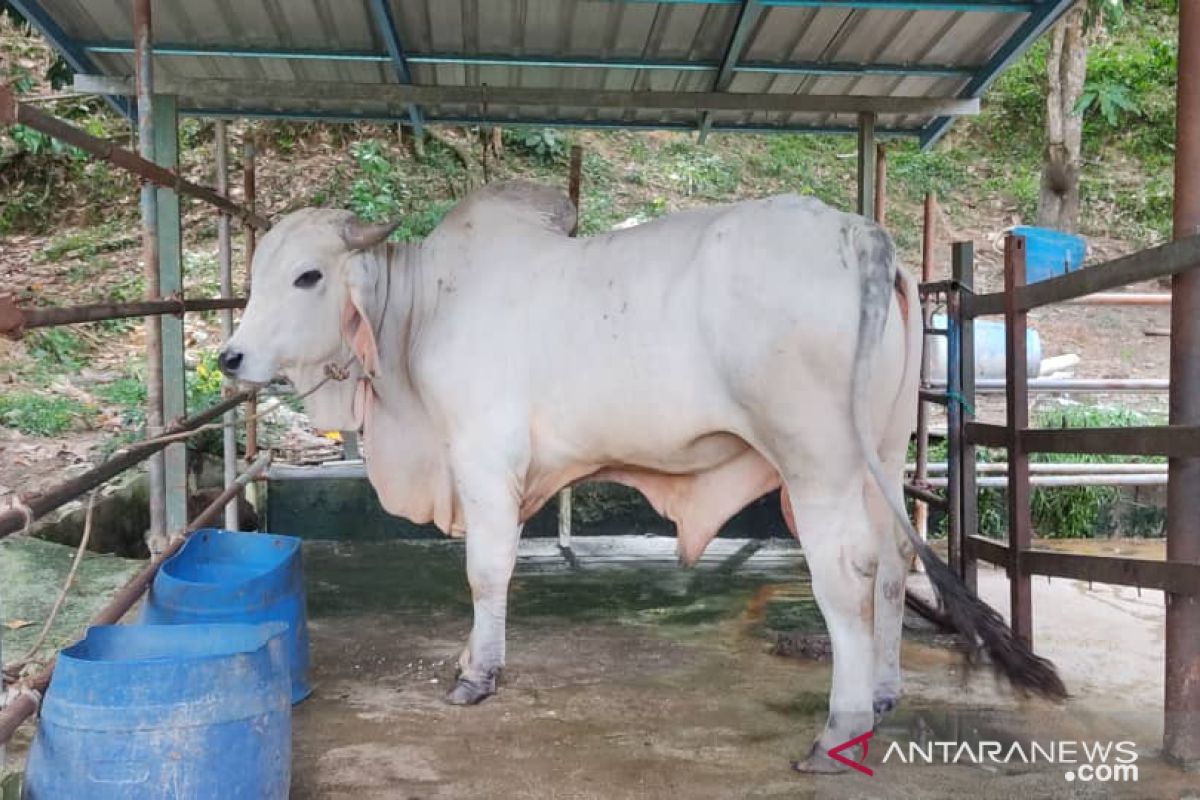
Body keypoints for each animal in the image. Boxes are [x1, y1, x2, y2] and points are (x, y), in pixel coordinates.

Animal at [220, 181, 1065, 767]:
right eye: (257, 272)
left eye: (307, 276)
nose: (230, 357)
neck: (420, 311)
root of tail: (861, 233)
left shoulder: (485, 456)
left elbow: (486, 570)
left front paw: (478, 673)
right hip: (880, 451)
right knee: (892, 562)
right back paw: (884, 694)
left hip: (815, 459)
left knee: (847, 571)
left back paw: (839, 728)